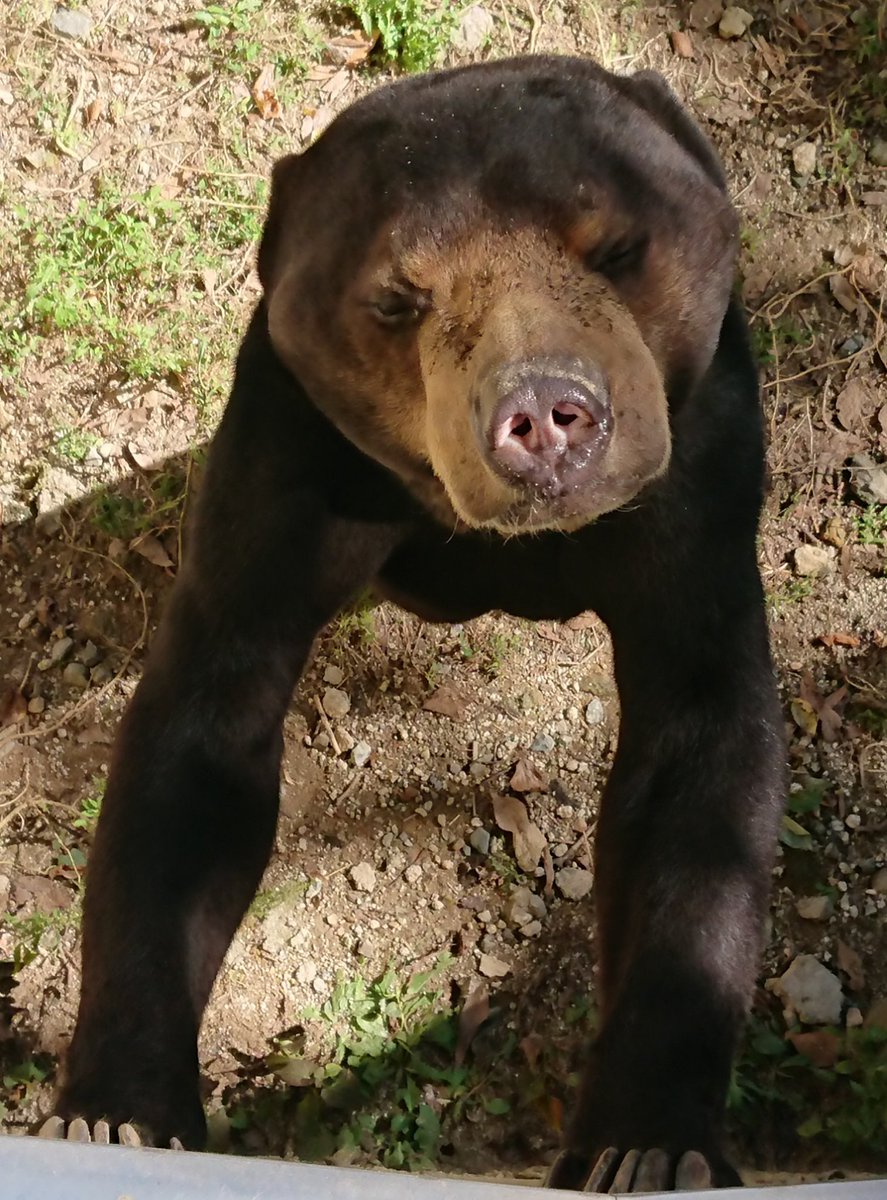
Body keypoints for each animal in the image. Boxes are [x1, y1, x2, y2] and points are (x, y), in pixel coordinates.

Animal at [42, 56, 785, 1193]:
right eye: (397, 298)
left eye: (617, 248)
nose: (542, 415)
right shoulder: (296, 454)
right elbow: (200, 735)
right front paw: (118, 1112)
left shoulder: (697, 472)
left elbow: (698, 761)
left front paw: (647, 1142)